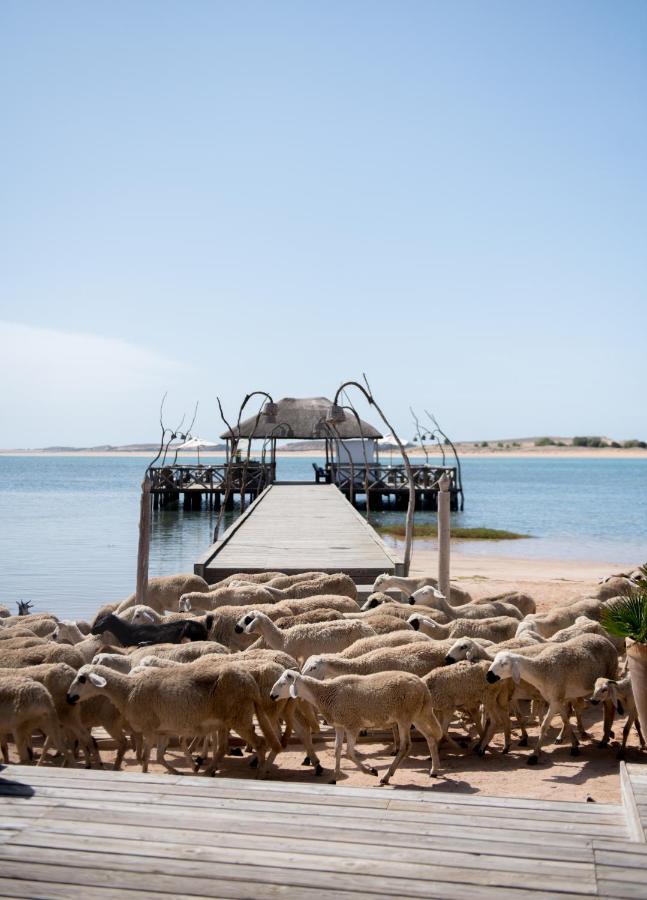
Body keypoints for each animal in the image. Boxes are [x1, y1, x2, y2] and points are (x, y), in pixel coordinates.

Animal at [67, 656, 282, 776]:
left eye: (82, 679)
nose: (69, 698)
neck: (127, 691)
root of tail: (250, 683)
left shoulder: (149, 729)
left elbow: (147, 756)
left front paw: (145, 772)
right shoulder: (162, 731)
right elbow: (160, 757)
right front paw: (178, 770)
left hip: (239, 717)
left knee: (260, 744)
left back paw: (260, 773)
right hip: (227, 720)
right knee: (222, 748)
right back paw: (209, 771)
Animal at [235, 612, 378, 668]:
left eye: (248, 619)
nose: (236, 628)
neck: (283, 638)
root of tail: (370, 630)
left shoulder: (295, 655)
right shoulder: (303, 657)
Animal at [270, 664, 442, 784]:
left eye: (283, 683)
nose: (271, 696)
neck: (325, 693)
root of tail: (423, 686)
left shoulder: (353, 725)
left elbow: (349, 753)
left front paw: (371, 771)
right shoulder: (339, 725)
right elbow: (337, 750)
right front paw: (334, 777)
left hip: (404, 717)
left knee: (406, 746)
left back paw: (386, 776)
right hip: (417, 715)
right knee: (431, 738)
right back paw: (434, 770)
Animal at [488, 632, 620, 768]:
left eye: (504, 664)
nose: (488, 676)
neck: (542, 670)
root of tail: (602, 637)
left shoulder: (555, 700)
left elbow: (544, 726)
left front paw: (534, 756)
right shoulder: (556, 698)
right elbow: (565, 720)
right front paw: (574, 745)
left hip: (609, 678)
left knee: (609, 709)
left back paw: (605, 738)